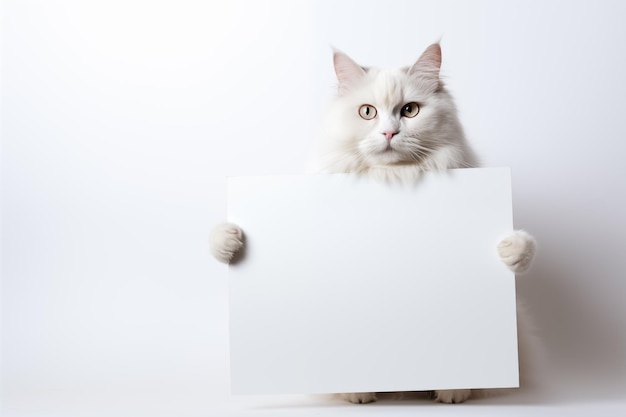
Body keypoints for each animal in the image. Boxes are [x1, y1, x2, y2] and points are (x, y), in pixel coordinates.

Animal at [208, 44, 532, 404]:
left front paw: (510, 250)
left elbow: (523, 250)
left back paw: (451, 391)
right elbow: (218, 240)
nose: (389, 132)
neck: (391, 177)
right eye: (367, 112)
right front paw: (230, 241)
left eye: (410, 110)